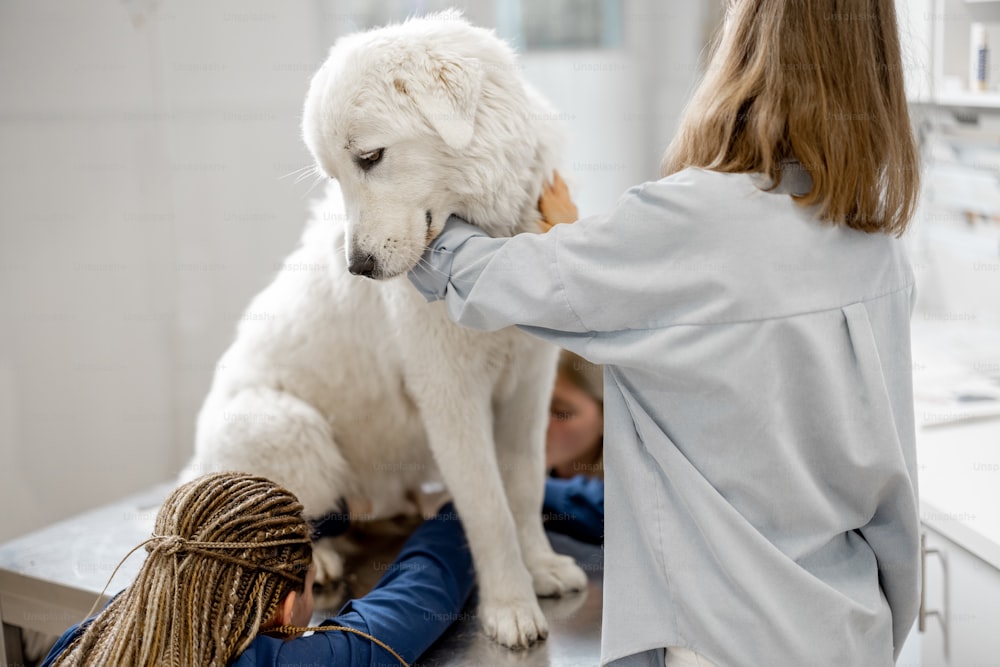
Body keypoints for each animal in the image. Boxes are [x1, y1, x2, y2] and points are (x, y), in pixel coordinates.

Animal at [183, 10, 584, 648]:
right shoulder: (451, 396)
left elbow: (522, 488)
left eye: (370, 158)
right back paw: (318, 560)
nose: (359, 268)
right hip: (290, 426)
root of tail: (194, 468)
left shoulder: (528, 385)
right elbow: (489, 508)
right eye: (336, 175)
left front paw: (540, 566)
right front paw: (510, 606)